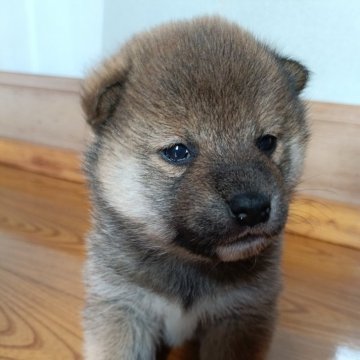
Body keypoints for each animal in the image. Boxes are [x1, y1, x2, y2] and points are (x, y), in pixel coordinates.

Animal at [81, 15, 310, 358]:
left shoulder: (241, 313)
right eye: (178, 152)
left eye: (267, 142)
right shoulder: (122, 305)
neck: (190, 265)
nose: (253, 208)